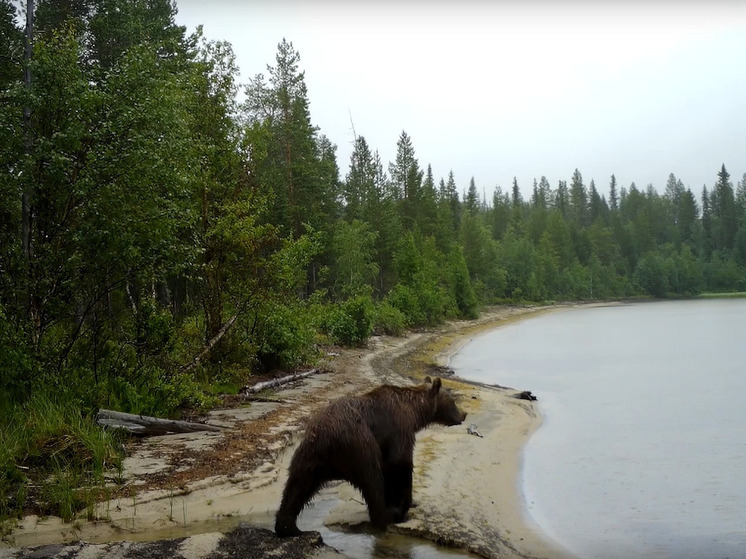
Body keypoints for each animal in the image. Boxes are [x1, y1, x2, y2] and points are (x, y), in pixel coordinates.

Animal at [272, 376, 464, 540]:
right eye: (453, 401)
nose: (463, 415)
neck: (414, 411)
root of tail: (325, 438)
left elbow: (390, 468)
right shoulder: (399, 429)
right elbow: (400, 463)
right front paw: (405, 504)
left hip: (309, 455)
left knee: (297, 485)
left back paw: (288, 527)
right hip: (359, 444)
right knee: (372, 478)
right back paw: (388, 515)